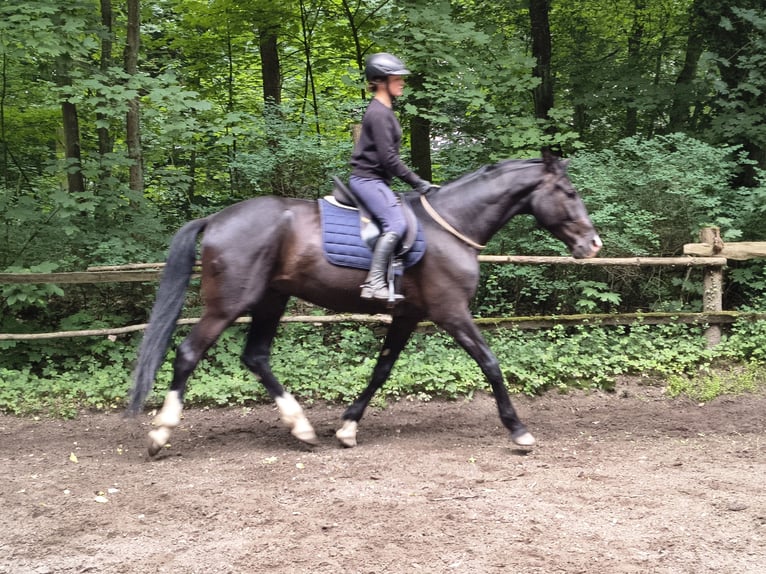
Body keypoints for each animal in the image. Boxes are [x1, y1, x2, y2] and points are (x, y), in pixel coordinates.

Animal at [127, 153, 602, 455]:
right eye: (568, 191)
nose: (593, 245)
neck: (452, 226)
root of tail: (217, 219)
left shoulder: (408, 315)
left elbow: (382, 369)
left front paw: (348, 427)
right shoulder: (451, 312)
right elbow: (490, 363)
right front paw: (518, 430)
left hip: (272, 299)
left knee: (256, 356)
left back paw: (301, 428)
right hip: (228, 304)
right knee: (190, 353)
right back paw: (161, 434)